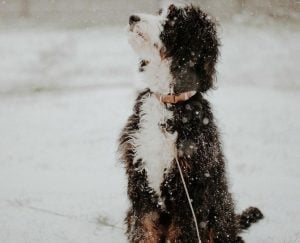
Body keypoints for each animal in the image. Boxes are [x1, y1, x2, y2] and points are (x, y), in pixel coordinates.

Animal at [118, 3, 264, 243]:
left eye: (171, 19)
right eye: (159, 12)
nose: (132, 17)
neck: (168, 102)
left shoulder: (190, 189)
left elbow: (182, 232)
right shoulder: (141, 178)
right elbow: (143, 228)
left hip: (217, 216)